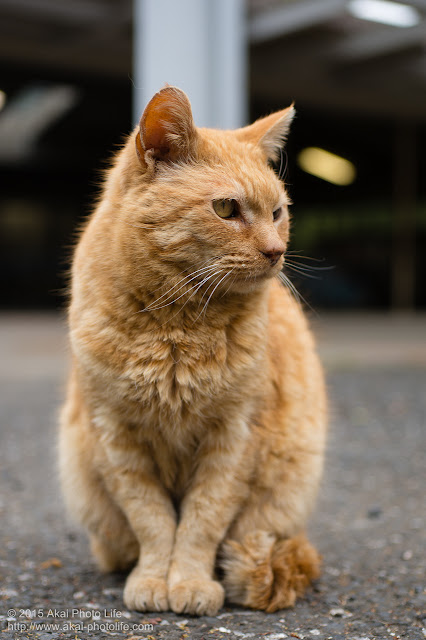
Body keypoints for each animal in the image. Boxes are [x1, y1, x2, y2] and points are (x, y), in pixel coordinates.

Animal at [59, 85, 326, 616]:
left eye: (278, 213)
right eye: (226, 209)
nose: (276, 252)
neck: (178, 328)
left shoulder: (236, 437)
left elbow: (203, 520)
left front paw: (190, 582)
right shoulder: (115, 438)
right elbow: (153, 520)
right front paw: (152, 579)